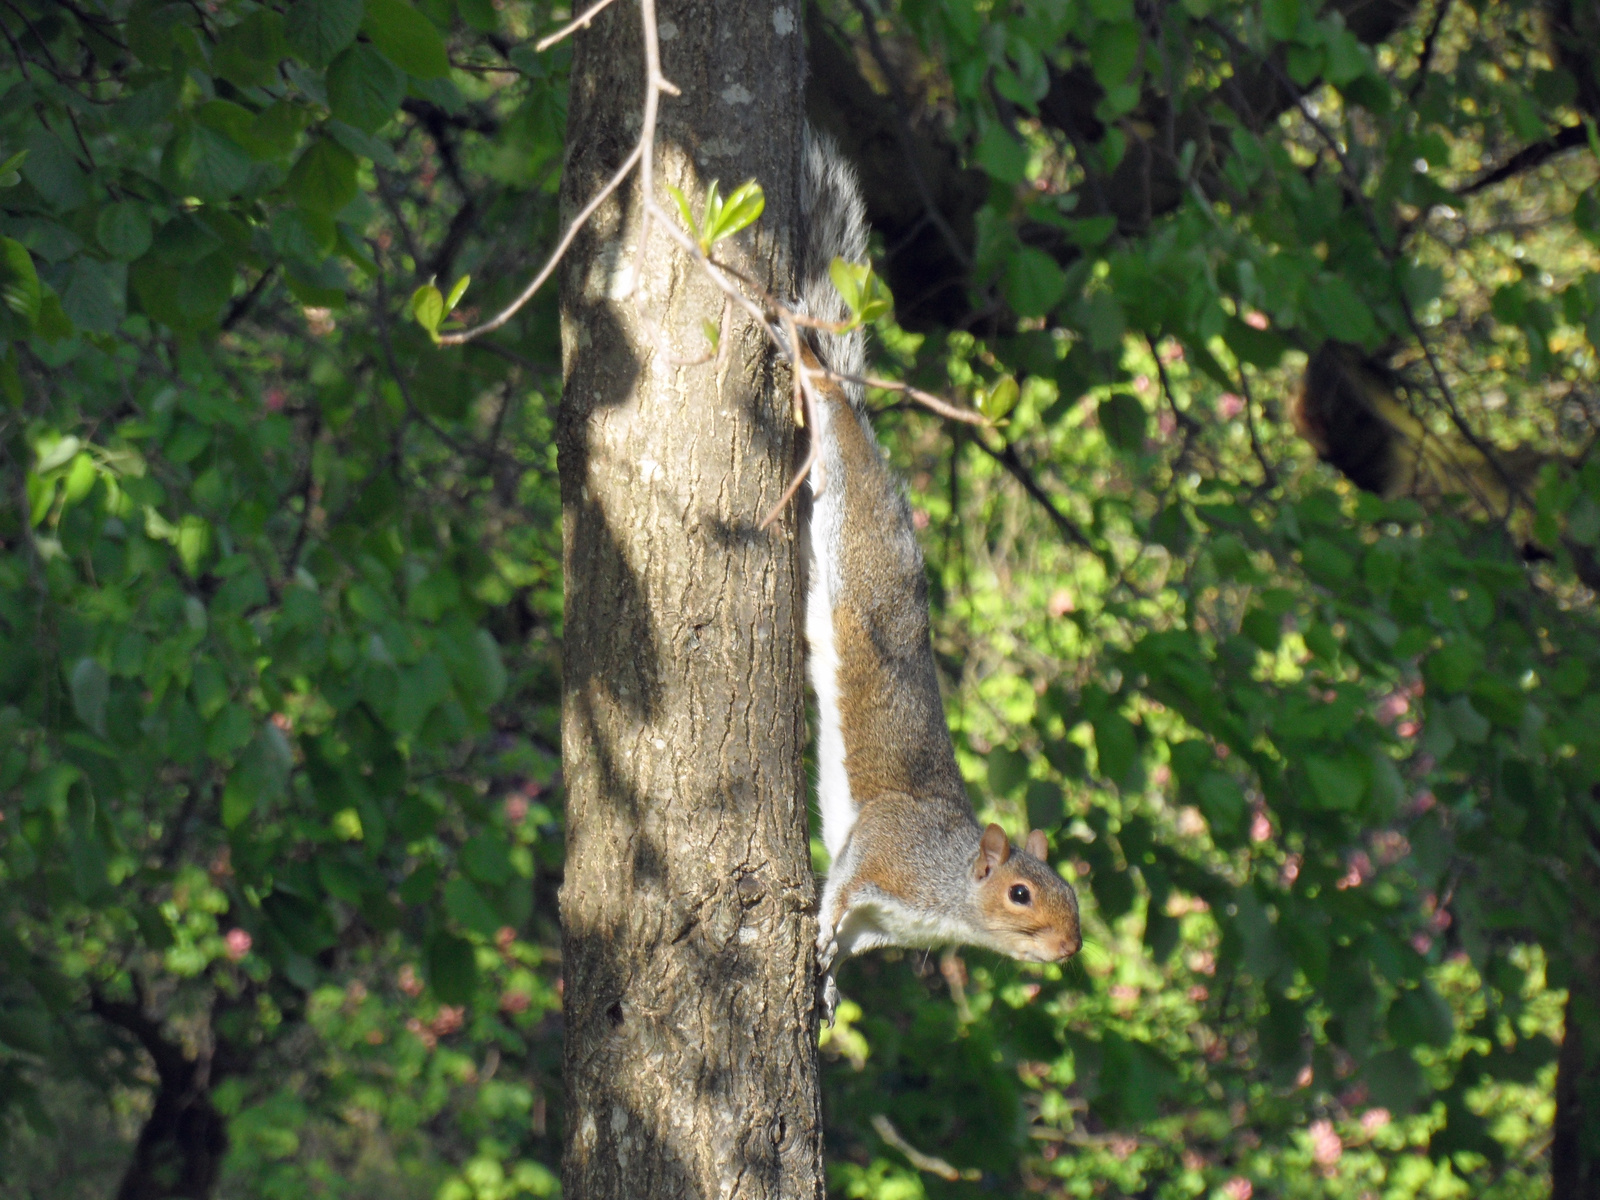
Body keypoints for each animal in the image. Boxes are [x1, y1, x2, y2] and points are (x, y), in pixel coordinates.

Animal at [793, 131, 1081, 1017]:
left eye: (1074, 892)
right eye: (1020, 893)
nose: (1070, 947)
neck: (949, 895)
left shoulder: (886, 925)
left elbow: (851, 941)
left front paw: (830, 986)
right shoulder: (885, 854)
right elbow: (840, 887)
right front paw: (817, 935)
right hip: (846, 532)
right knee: (826, 410)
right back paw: (808, 364)